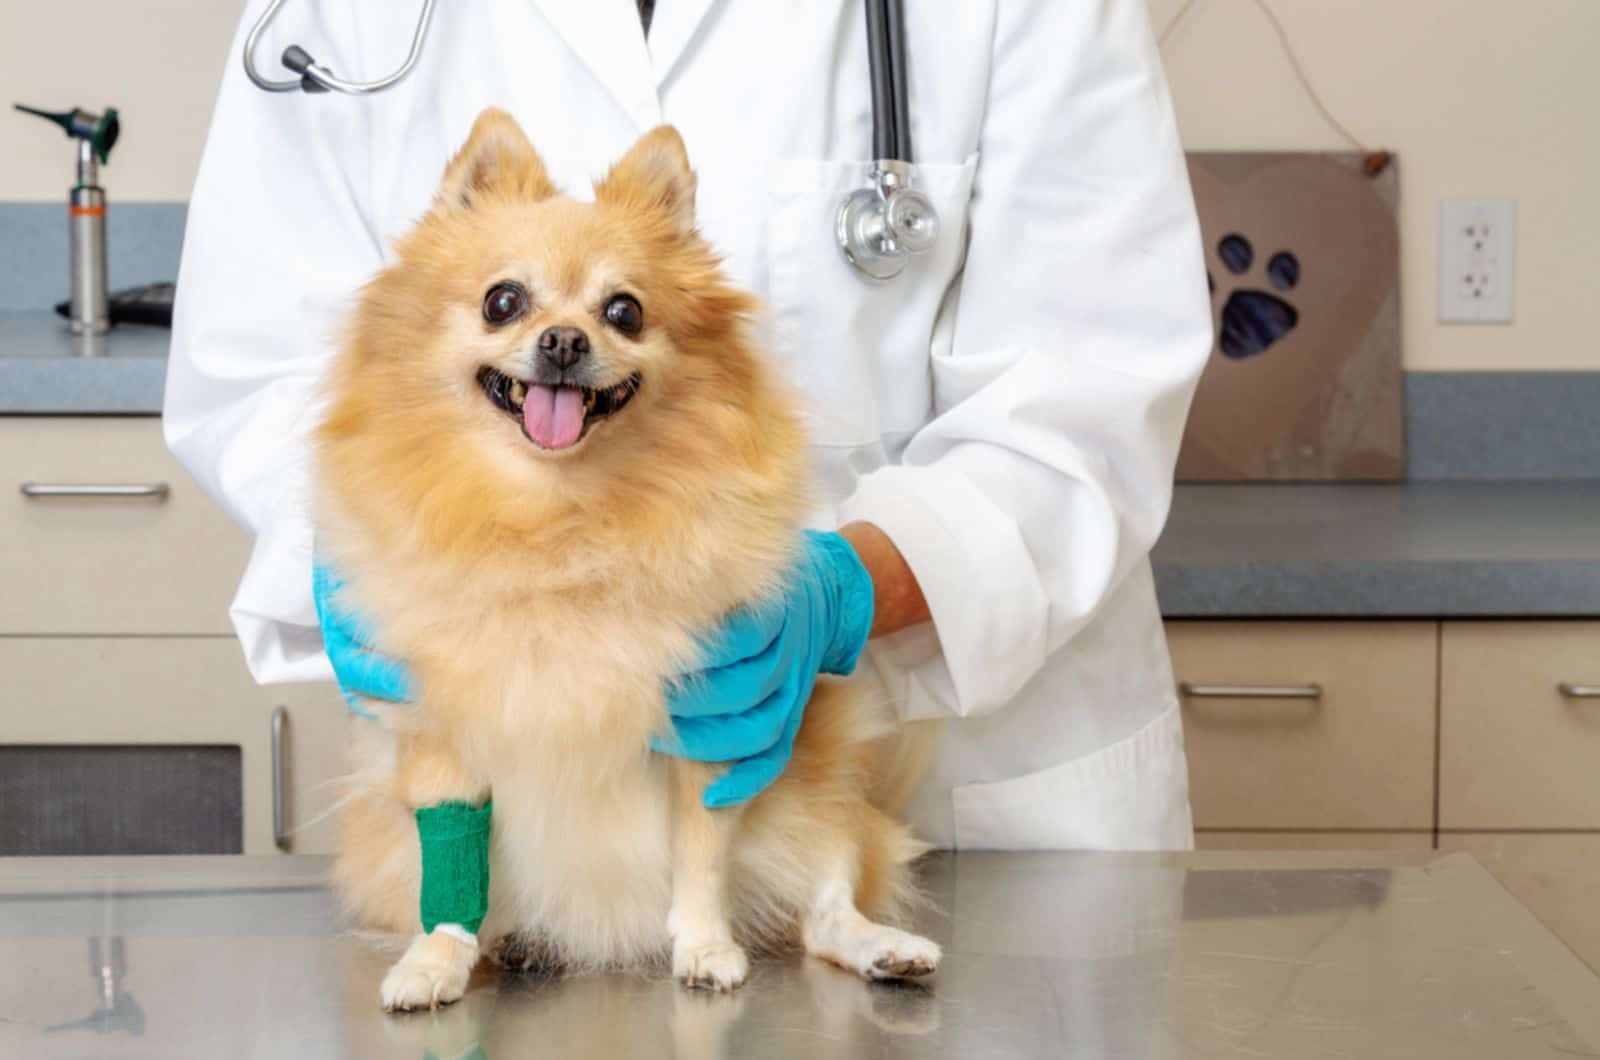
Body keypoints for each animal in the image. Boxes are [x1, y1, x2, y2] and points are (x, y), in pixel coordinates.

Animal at [312, 109, 934, 1011]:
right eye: (503, 301)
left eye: (624, 311)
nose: (565, 340)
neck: (556, 522)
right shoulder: (438, 735)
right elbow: (449, 865)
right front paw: (436, 958)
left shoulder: (713, 724)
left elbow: (701, 858)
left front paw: (704, 947)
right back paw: (508, 947)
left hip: (811, 797)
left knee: (824, 909)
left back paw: (884, 947)